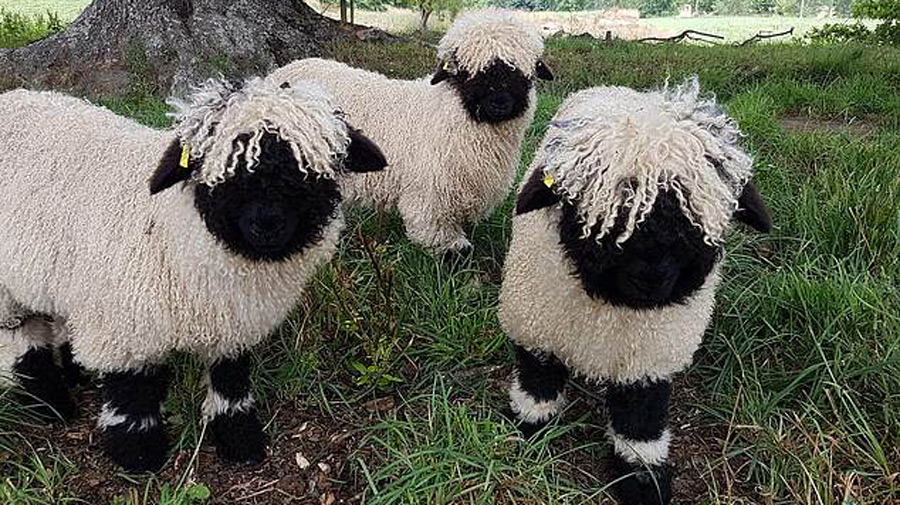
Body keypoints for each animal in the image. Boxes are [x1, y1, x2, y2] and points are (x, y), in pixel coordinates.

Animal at [0, 77, 384, 470]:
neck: (172, 231)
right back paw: (50, 405)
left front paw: (239, 439)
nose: (267, 224)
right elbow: (132, 393)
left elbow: (231, 381)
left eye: (309, 171)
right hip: (7, 291)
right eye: (223, 171)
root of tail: (12, 96)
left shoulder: (232, 322)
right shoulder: (123, 326)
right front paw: (138, 453)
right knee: (24, 341)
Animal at [496, 77, 768, 502]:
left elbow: (641, 413)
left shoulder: (650, 355)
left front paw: (643, 477)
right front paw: (529, 426)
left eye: (693, 220)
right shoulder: (536, 324)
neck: (612, 309)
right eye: (601, 215)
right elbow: (538, 377)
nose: (652, 277)